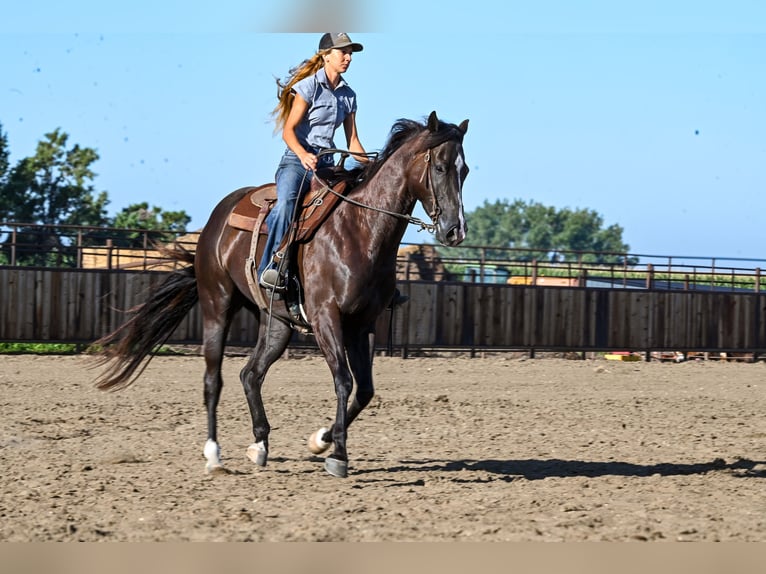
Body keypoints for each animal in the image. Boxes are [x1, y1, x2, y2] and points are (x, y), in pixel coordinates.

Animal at [93, 111, 469, 478]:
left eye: (464, 170)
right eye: (439, 167)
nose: (456, 231)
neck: (359, 230)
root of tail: (217, 220)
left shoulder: (363, 324)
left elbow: (364, 390)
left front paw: (321, 440)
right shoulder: (325, 317)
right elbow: (344, 380)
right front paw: (338, 455)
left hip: (277, 323)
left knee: (250, 374)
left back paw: (259, 445)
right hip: (218, 304)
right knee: (213, 378)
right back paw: (214, 455)